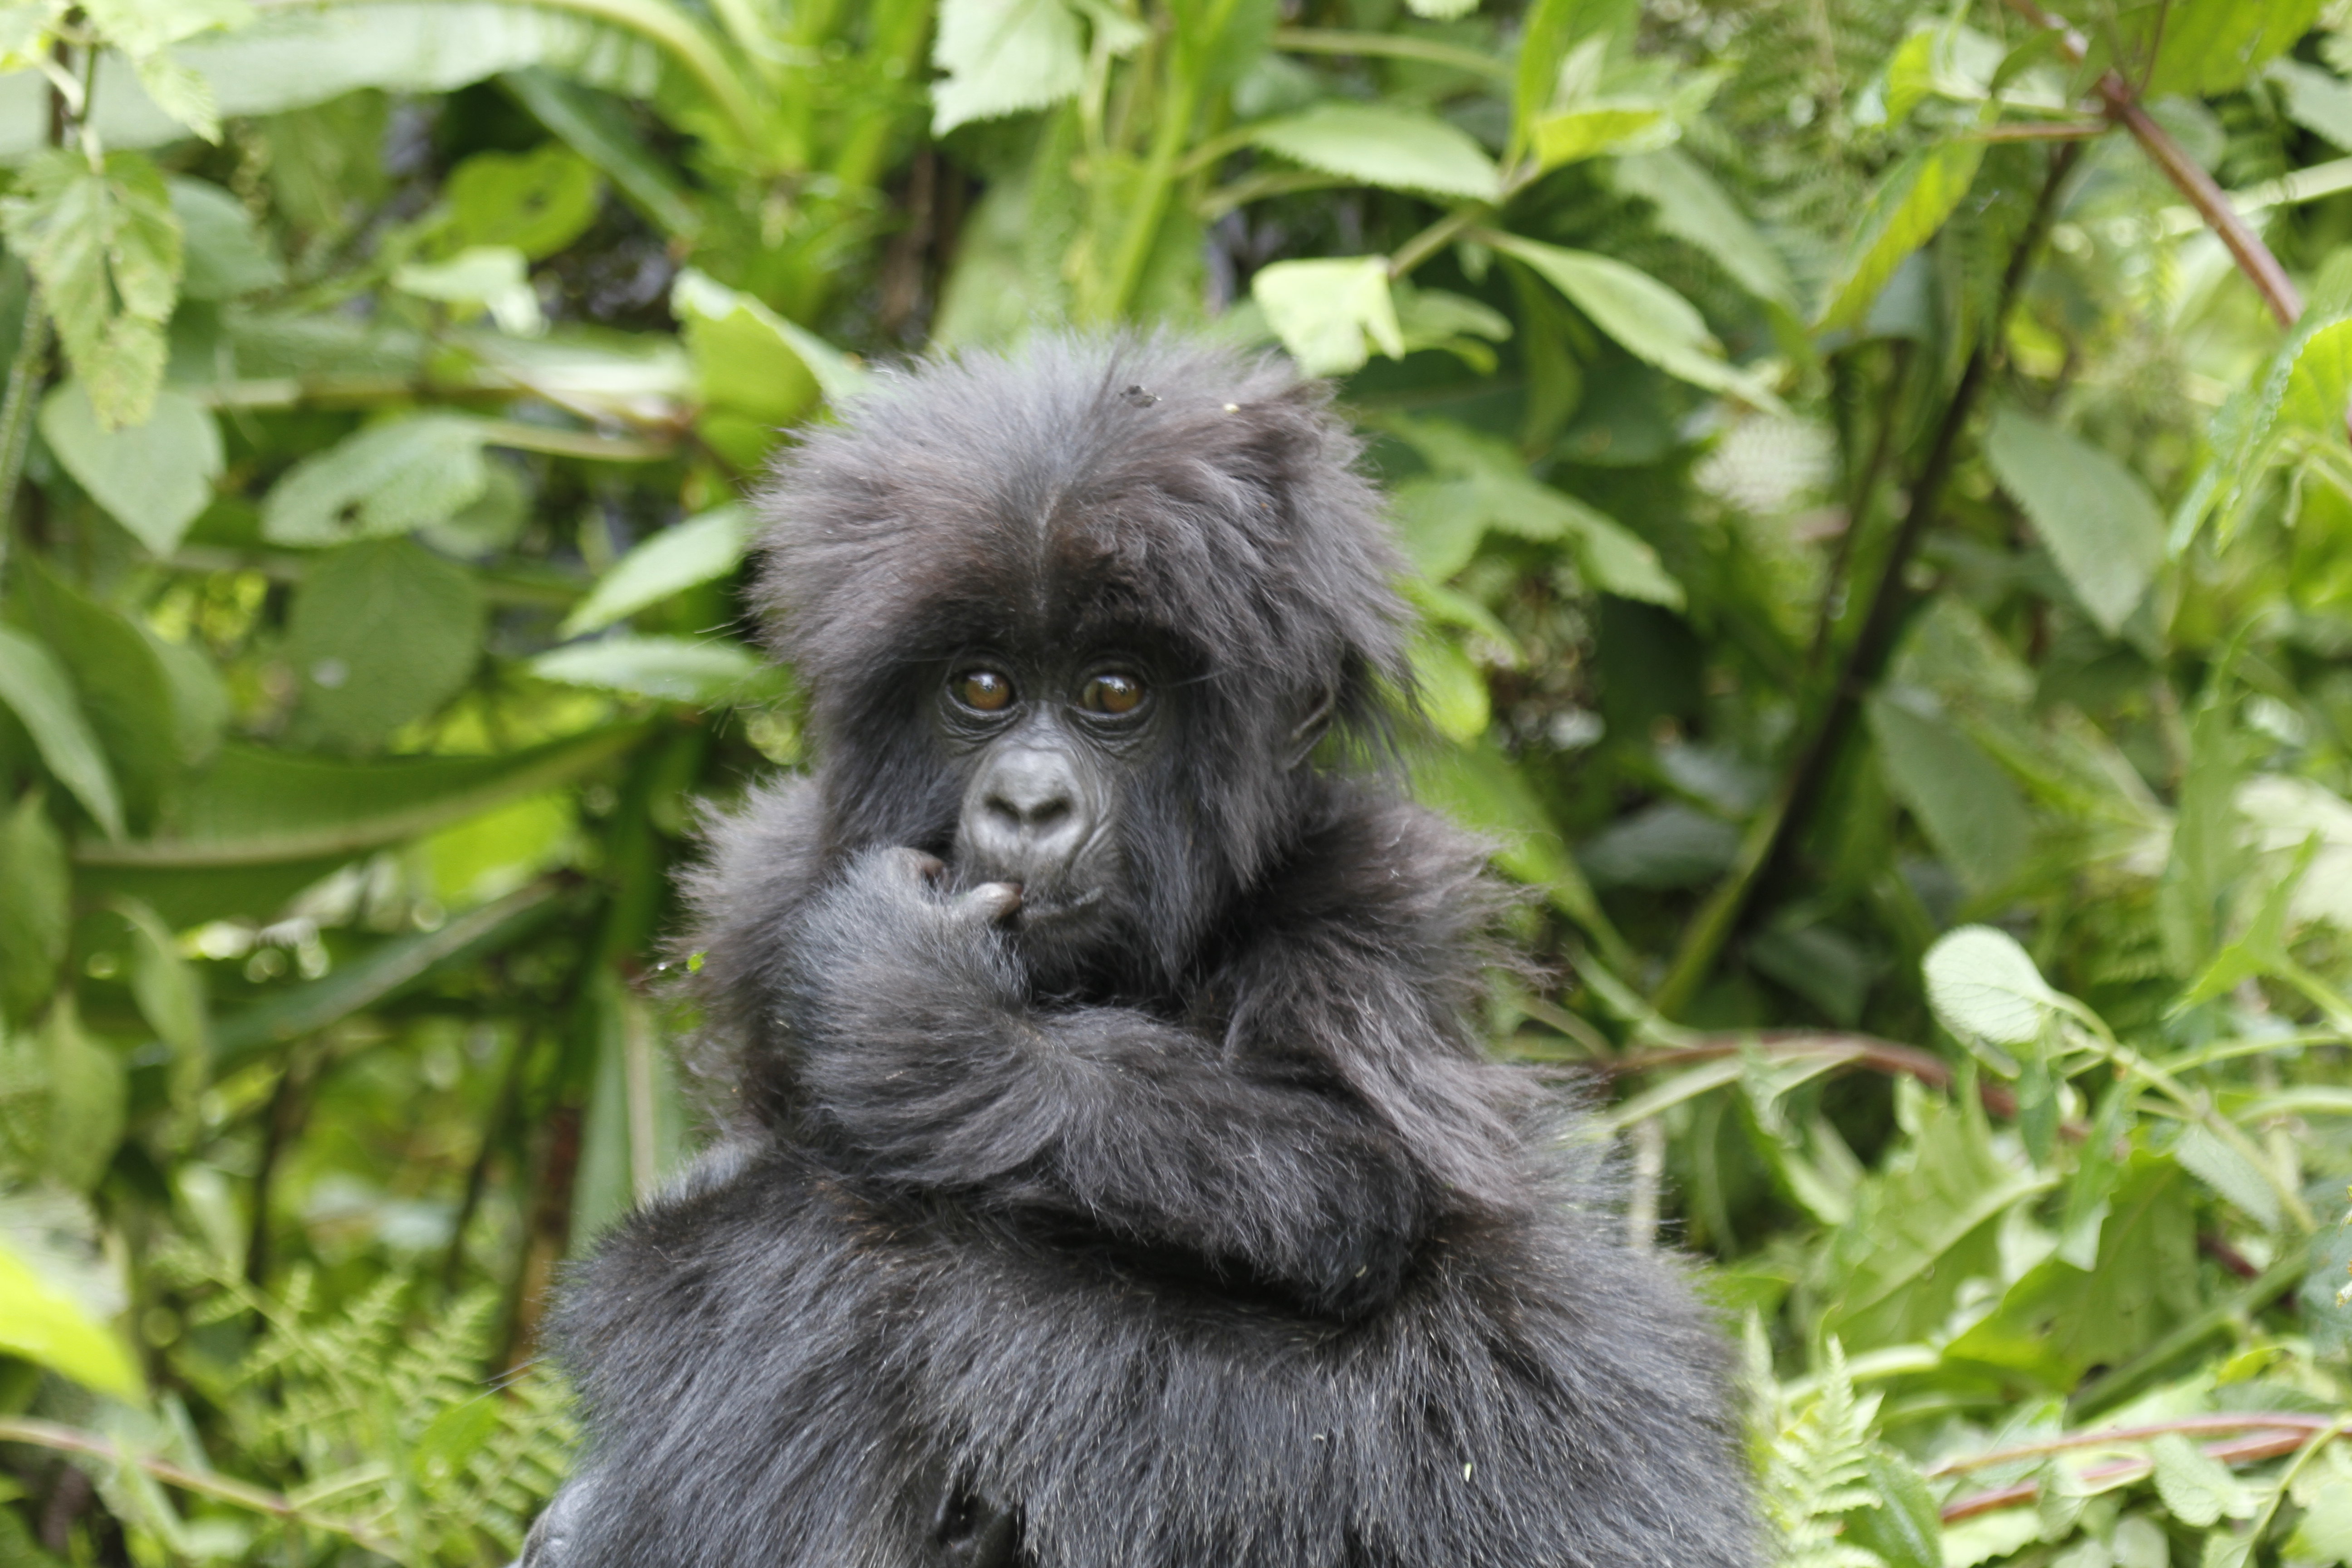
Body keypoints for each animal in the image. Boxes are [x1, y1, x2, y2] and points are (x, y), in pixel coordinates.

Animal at [529, 338, 1749, 1568]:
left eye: (1113, 692)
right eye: (982, 686)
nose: (1027, 803)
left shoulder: (1371, 899)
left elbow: (1356, 1179)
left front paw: (929, 1026)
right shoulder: (766, 892)